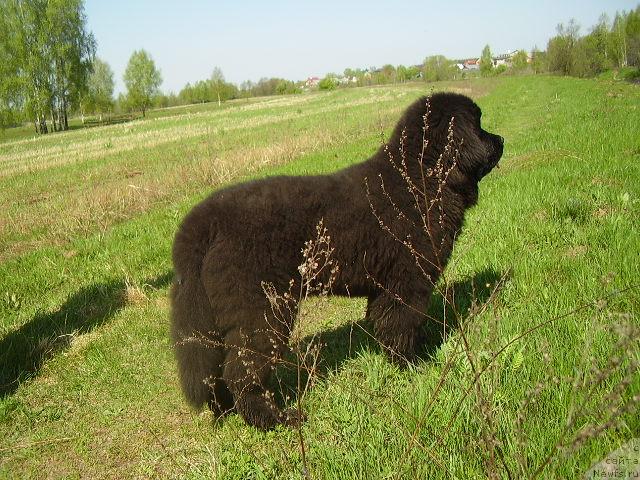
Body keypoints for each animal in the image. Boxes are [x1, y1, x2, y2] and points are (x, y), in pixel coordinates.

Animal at [171, 92, 504, 430]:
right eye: (479, 124)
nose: (501, 139)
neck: (419, 178)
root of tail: (203, 221)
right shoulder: (408, 282)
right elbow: (403, 325)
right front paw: (413, 365)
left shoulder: (385, 288)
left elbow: (389, 325)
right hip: (261, 312)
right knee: (242, 372)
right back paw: (274, 418)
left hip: (217, 318)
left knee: (217, 369)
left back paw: (225, 410)